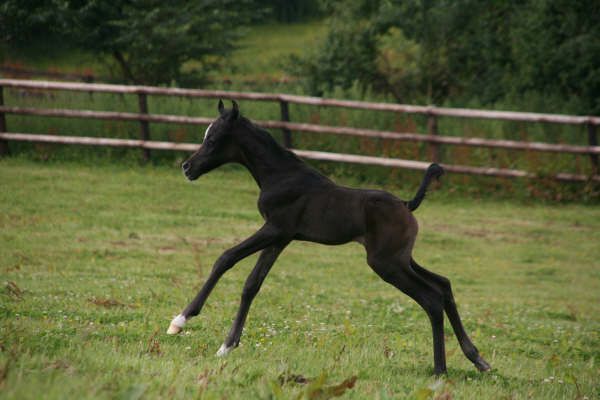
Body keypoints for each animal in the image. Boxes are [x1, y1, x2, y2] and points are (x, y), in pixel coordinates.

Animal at [166, 101, 490, 376]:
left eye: (213, 139)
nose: (187, 167)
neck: (280, 175)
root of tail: (406, 204)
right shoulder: (281, 237)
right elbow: (252, 284)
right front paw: (227, 345)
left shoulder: (275, 228)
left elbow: (226, 258)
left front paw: (180, 321)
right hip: (401, 258)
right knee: (443, 285)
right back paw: (478, 359)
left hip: (386, 263)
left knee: (431, 298)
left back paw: (440, 371)